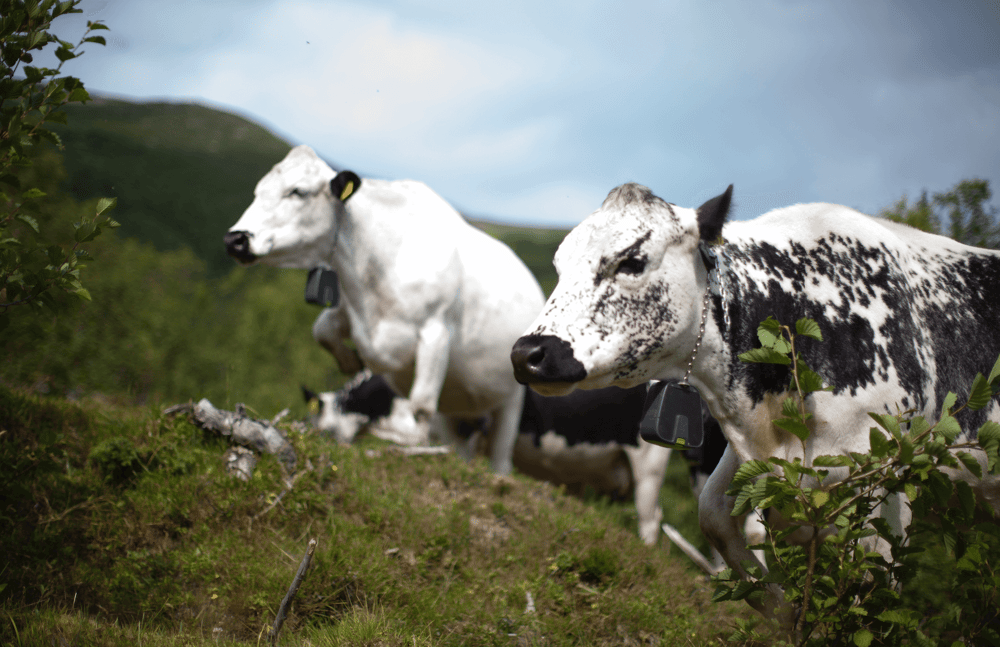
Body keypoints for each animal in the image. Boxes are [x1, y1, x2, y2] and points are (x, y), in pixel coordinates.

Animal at [225, 144, 548, 474]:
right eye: (258, 191)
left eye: (297, 191)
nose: (235, 238)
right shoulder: (349, 311)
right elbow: (322, 330)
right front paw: (350, 362)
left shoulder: (436, 331)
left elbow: (421, 404)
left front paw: (414, 446)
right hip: (458, 405)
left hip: (511, 400)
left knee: (500, 455)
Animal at [512, 181, 1000, 616]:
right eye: (560, 265)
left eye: (632, 261)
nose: (528, 353)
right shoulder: (743, 463)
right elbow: (718, 522)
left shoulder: (884, 492)